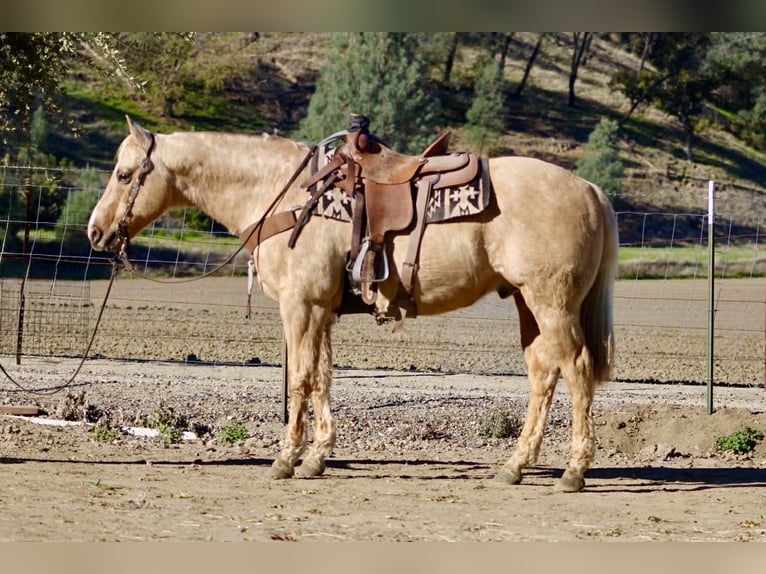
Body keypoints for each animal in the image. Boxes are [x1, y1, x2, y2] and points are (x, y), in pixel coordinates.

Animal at [88, 116, 618, 492]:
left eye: (124, 173)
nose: (95, 231)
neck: (284, 192)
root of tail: (591, 189)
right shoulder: (322, 310)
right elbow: (323, 376)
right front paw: (317, 457)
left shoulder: (300, 306)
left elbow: (300, 378)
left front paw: (285, 459)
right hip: (529, 305)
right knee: (543, 374)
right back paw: (515, 465)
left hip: (552, 304)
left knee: (576, 369)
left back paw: (574, 471)